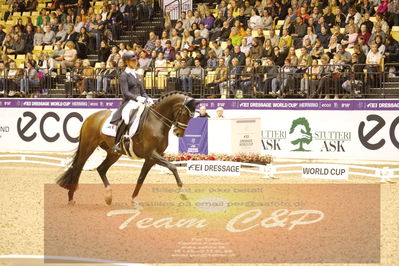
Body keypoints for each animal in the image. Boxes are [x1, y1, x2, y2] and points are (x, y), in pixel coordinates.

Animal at [56, 92, 200, 205]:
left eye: (192, 116)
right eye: (184, 113)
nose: (178, 133)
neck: (157, 121)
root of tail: (90, 117)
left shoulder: (151, 158)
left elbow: (141, 178)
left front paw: (133, 199)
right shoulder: (151, 154)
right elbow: (173, 167)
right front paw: (183, 193)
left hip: (113, 153)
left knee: (101, 169)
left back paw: (108, 196)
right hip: (87, 147)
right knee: (78, 168)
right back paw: (71, 198)